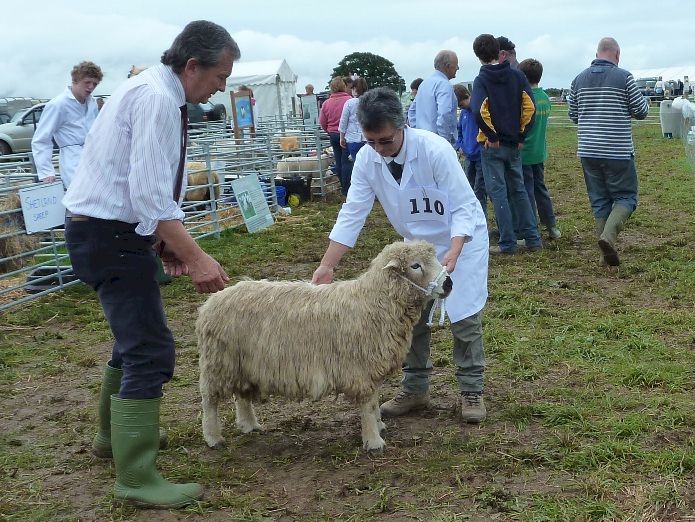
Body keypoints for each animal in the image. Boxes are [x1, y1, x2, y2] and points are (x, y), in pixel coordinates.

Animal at [197, 240, 452, 454]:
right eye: (415, 265)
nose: (449, 283)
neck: (375, 302)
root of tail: (211, 302)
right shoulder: (360, 368)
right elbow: (367, 405)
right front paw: (373, 440)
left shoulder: (371, 366)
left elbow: (374, 401)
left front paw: (379, 426)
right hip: (218, 361)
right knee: (209, 400)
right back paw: (212, 437)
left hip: (242, 362)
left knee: (241, 394)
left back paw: (249, 425)